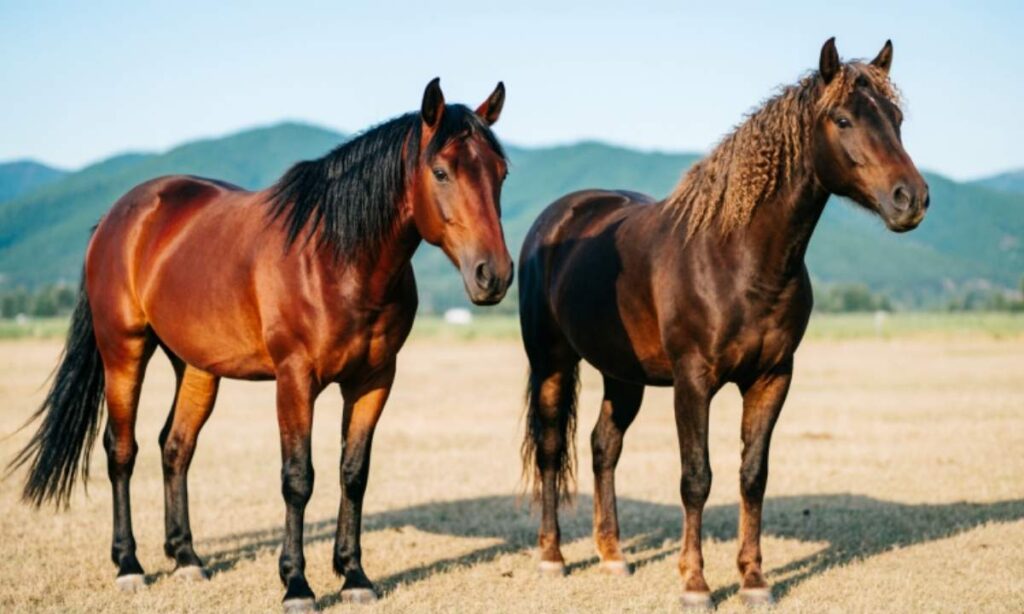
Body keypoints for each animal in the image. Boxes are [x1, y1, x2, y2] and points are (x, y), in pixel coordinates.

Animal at [11, 78, 512, 612]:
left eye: (501, 173)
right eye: (440, 171)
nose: (493, 275)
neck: (337, 258)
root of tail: (118, 216)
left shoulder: (374, 380)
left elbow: (353, 474)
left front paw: (354, 576)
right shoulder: (295, 380)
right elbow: (298, 478)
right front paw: (297, 584)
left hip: (197, 367)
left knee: (176, 447)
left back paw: (186, 558)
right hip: (123, 350)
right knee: (121, 449)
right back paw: (129, 565)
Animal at [518, 39, 928, 608]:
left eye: (897, 119)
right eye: (844, 119)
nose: (911, 198)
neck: (736, 258)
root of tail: (557, 218)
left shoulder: (773, 377)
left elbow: (752, 476)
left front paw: (754, 581)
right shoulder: (693, 382)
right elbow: (697, 477)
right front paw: (696, 583)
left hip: (622, 376)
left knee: (604, 447)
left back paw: (613, 556)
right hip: (551, 360)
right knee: (553, 447)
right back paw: (552, 556)